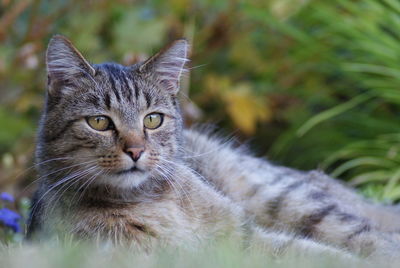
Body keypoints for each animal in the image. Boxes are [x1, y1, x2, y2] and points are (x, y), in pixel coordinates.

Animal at [26, 35, 400, 262]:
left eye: (153, 120)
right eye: (100, 122)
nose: (136, 151)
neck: (150, 200)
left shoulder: (246, 236)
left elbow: (324, 254)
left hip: (287, 199)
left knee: (370, 232)